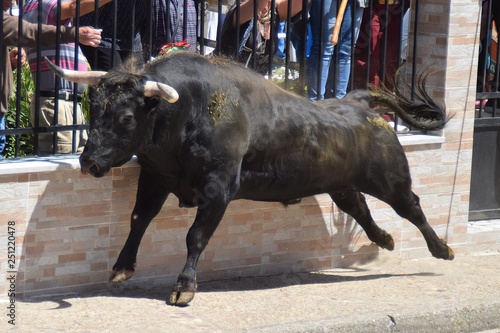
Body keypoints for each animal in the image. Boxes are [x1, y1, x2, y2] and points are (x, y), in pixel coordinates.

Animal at [46, 52, 454, 306]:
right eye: (92, 107)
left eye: (127, 117)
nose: (88, 162)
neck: (186, 113)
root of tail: (357, 104)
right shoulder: (155, 176)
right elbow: (138, 218)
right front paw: (121, 268)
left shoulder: (219, 189)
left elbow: (195, 237)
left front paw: (184, 288)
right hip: (340, 184)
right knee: (359, 207)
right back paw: (385, 239)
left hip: (391, 180)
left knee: (412, 208)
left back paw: (442, 250)